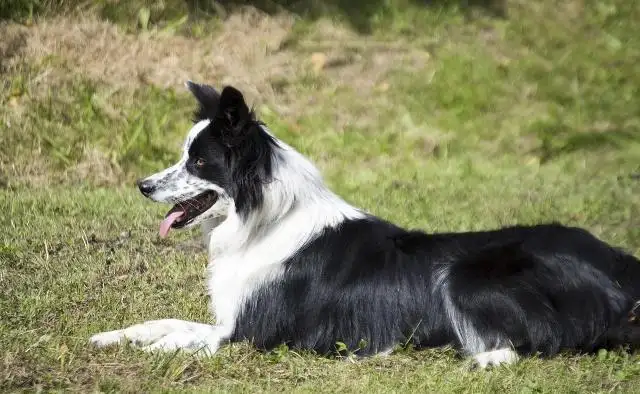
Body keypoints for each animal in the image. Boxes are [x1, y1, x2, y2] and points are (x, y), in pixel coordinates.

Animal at [91, 82, 640, 366]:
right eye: (184, 156)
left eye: (199, 163)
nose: (142, 186)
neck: (263, 219)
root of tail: (617, 263)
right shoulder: (229, 320)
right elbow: (164, 323)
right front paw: (111, 336)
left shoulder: (247, 333)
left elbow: (186, 339)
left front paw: (155, 351)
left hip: (466, 275)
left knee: (523, 347)